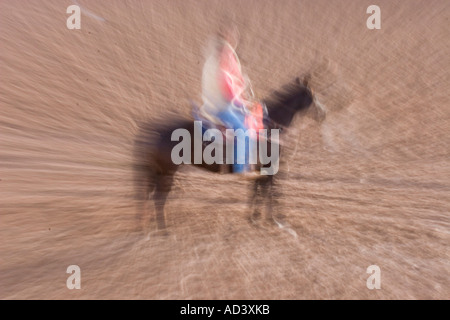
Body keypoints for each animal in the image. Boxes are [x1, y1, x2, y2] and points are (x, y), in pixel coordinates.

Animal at [132, 77, 326, 232]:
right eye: (311, 95)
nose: (323, 113)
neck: (268, 128)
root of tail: (155, 130)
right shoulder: (269, 168)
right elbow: (269, 193)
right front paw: (274, 220)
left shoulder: (260, 170)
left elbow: (257, 192)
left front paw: (254, 218)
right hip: (167, 171)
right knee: (159, 197)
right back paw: (164, 230)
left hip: (159, 171)